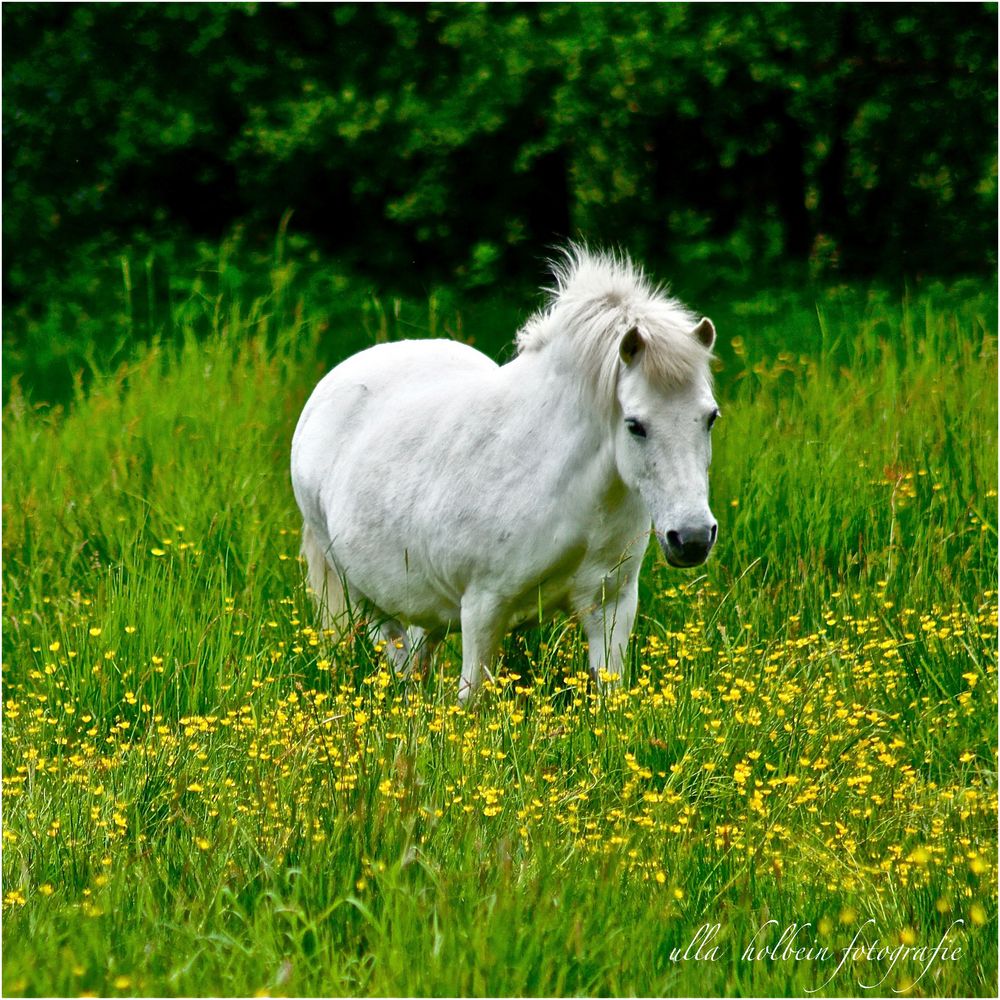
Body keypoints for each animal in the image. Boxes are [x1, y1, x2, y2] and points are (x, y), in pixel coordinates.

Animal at [290, 248, 720, 704]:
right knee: (398, 659)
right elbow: (471, 699)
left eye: (710, 417)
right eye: (635, 425)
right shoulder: (482, 609)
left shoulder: (611, 605)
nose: (692, 538)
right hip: (363, 595)